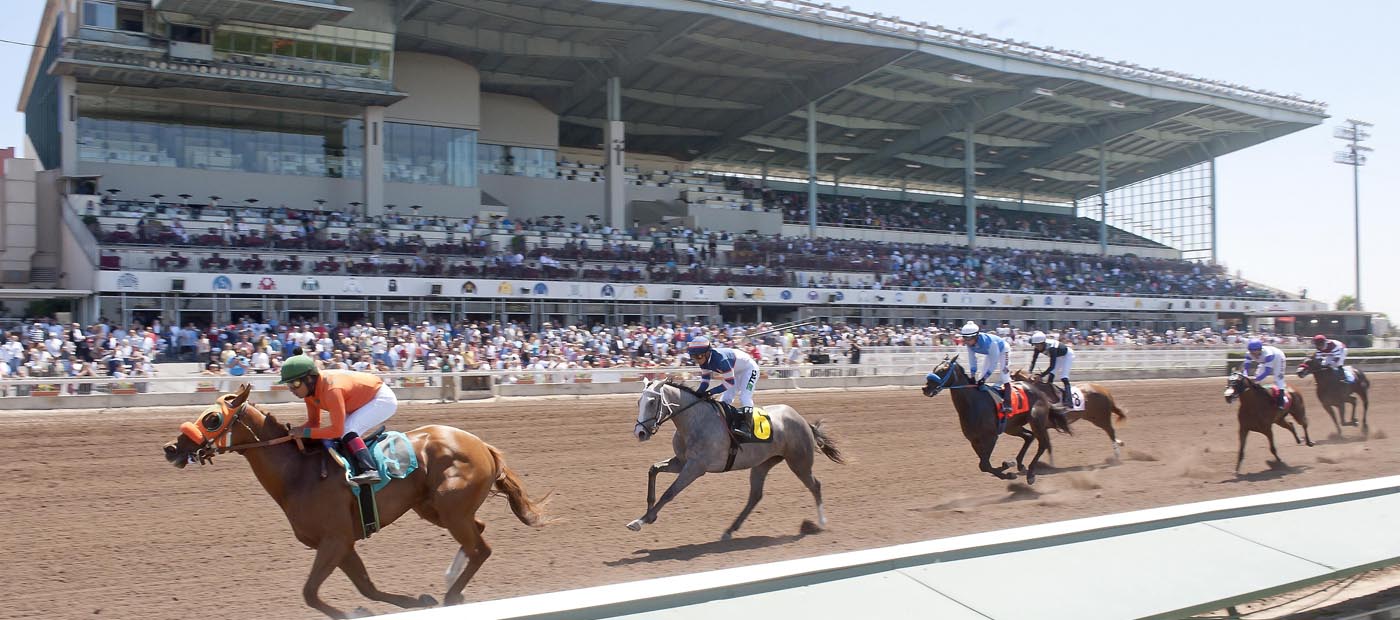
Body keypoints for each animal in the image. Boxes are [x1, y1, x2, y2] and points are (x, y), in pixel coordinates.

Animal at [162, 386, 546, 618]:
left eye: (212, 418)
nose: (171, 448)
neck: (298, 473)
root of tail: (482, 445)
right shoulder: (342, 544)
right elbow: (367, 588)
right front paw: (412, 601)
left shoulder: (335, 540)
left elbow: (310, 593)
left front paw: (352, 612)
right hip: (433, 508)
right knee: (477, 533)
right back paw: (452, 584)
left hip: (451, 509)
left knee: (481, 547)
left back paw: (452, 596)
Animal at [627, 377, 840, 540]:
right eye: (639, 402)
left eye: (652, 402)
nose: (640, 432)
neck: (694, 420)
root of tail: (803, 420)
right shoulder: (681, 462)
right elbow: (653, 469)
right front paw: (646, 516)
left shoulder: (696, 468)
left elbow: (669, 493)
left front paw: (642, 520)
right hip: (763, 464)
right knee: (755, 496)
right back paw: (729, 531)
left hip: (799, 462)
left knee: (815, 485)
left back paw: (821, 522)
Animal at [918, 354, 1069, 484]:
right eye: (935, 368)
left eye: (943, 370)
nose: (925, 388)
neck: (973, 404)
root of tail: (1040, 392)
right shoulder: (974, 440)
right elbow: (984, 465)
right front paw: (1008, 467)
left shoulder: (991, 437)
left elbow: (984, 465)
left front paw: (1008, 469)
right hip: (1012, 427)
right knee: (1029, 436)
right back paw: (1020, 464)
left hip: (1036, 420)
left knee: (1042, 444)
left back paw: (1031, 474)